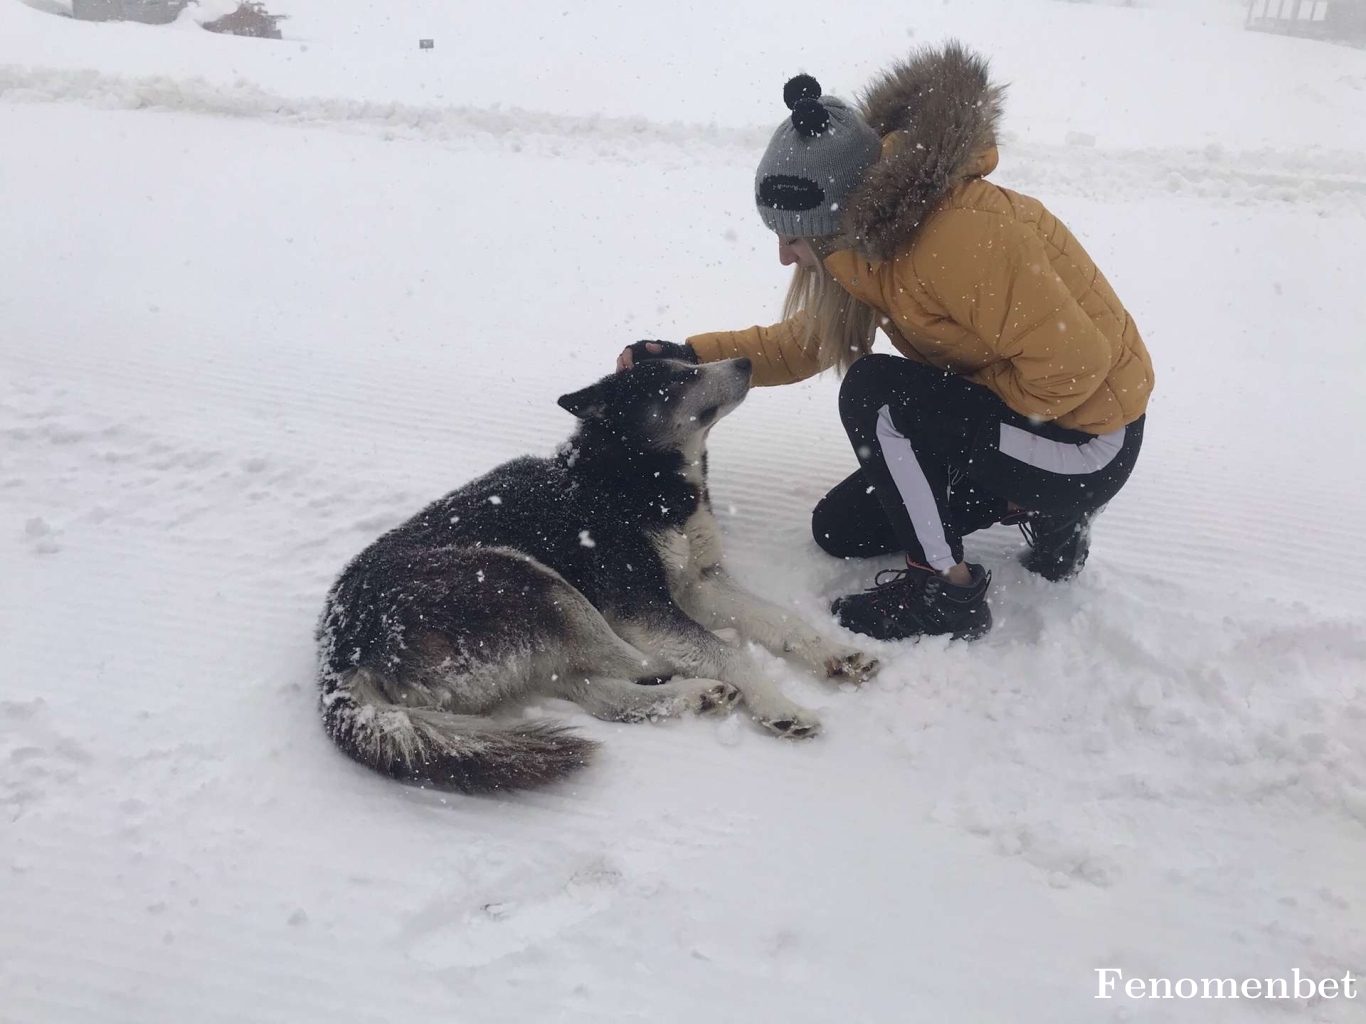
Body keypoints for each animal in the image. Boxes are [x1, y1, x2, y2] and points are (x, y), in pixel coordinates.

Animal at [314, 357, 879, 797]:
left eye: (689, 363)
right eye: (678, 378)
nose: (744, 362)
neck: (631, 478)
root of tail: (340, 649)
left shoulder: (701, 581)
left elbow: (783, 619)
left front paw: (835, 654)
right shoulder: (640, 604)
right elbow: (730, 654)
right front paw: (778, 703)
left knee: (603, 694)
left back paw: (694, 694)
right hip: (529, 581)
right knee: (637, 661)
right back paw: (707, 665)